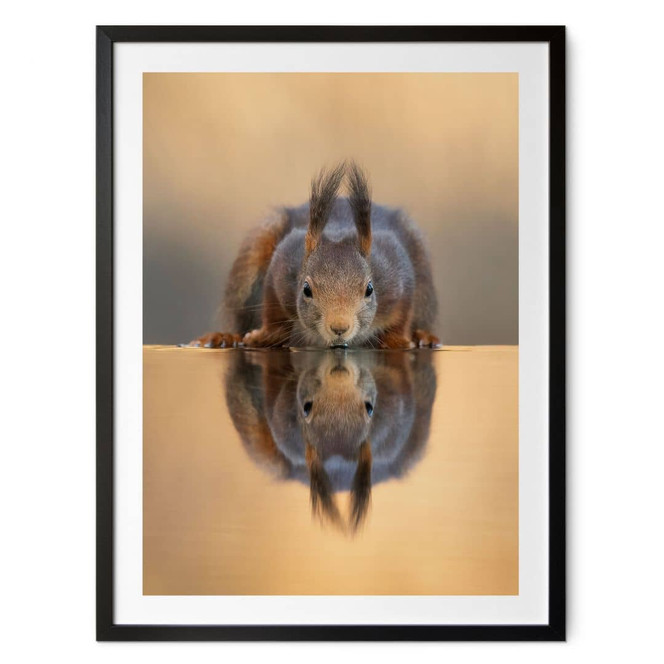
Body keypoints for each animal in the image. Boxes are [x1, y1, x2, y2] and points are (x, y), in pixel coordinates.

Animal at [193, 161, 440, 349]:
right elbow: (273, 312)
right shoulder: (283, 265)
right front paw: (263, 336)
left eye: (369, 289)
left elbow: (402, 315)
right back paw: (225, 338)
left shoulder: (396, 272)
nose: (339, 327)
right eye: (306, 290)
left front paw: (398, 341)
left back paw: (424, 337)